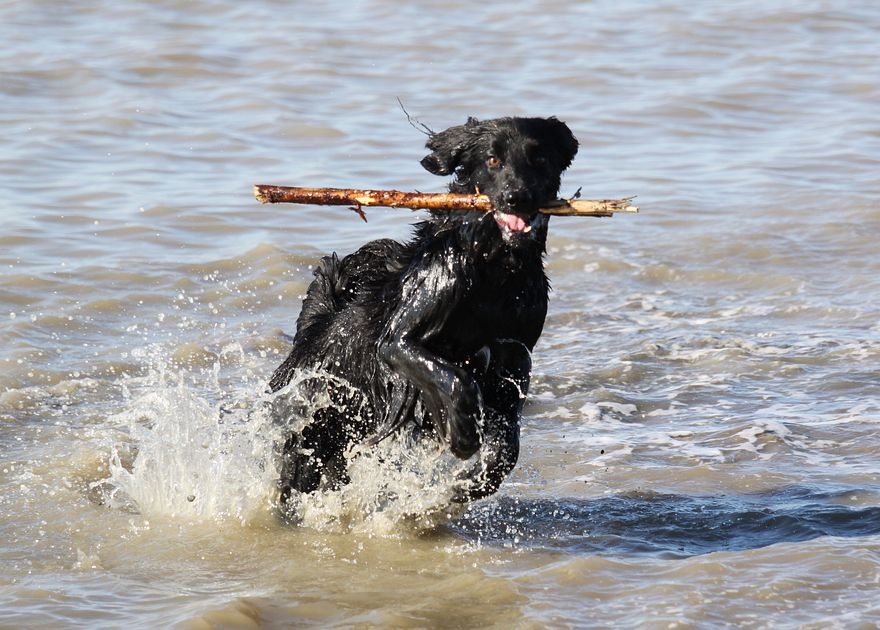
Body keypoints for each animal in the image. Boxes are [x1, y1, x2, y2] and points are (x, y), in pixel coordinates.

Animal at [269, 116, 578, 505]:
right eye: (493, 160)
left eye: (539, 159)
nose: (516, 197)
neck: (496, 267)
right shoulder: (411, 323)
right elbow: (454, 378)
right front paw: (463, 432)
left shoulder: (515, 350)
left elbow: (507, 439)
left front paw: (470, 482)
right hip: (313, 433)